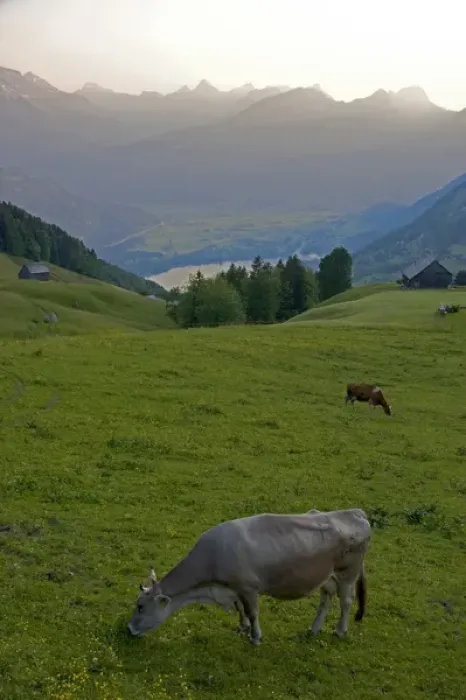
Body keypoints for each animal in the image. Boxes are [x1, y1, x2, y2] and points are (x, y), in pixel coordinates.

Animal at [127, 508, 371, 647]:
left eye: (140, 606)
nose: (129, 629)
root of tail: (354, 512)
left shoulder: (248, 588)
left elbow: (252, 613)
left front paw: (255, 637)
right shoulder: (234, 587)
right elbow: (240, 608)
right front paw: (242, 627)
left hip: (348, 574)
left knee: (346, 602)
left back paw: (340, 631)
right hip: (327, 577)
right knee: (325, 600)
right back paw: (314, 628)